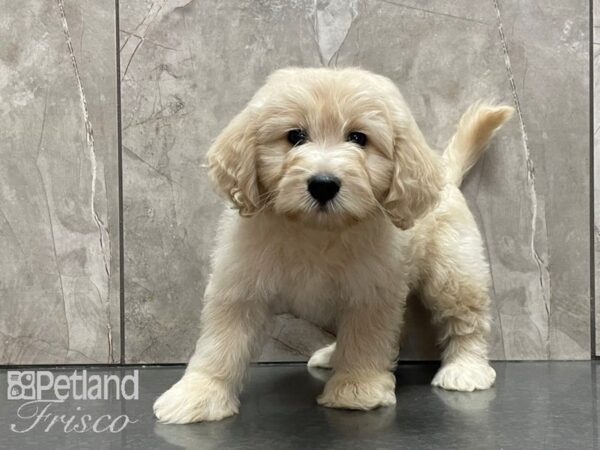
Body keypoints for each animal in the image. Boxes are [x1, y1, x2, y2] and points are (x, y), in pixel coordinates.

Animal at [152, 66, 512, 422]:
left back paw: (466, 368)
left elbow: (366, 339)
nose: (323, 184)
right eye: (295, 136)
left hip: (453, 272)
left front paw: (356, 388)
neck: (316, 230)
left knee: (466, 320)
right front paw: (198, 393)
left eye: (358, 138)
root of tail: (446, 175)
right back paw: (332, 355)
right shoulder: (241, 285)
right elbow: (221, 343)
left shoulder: (369, 291)